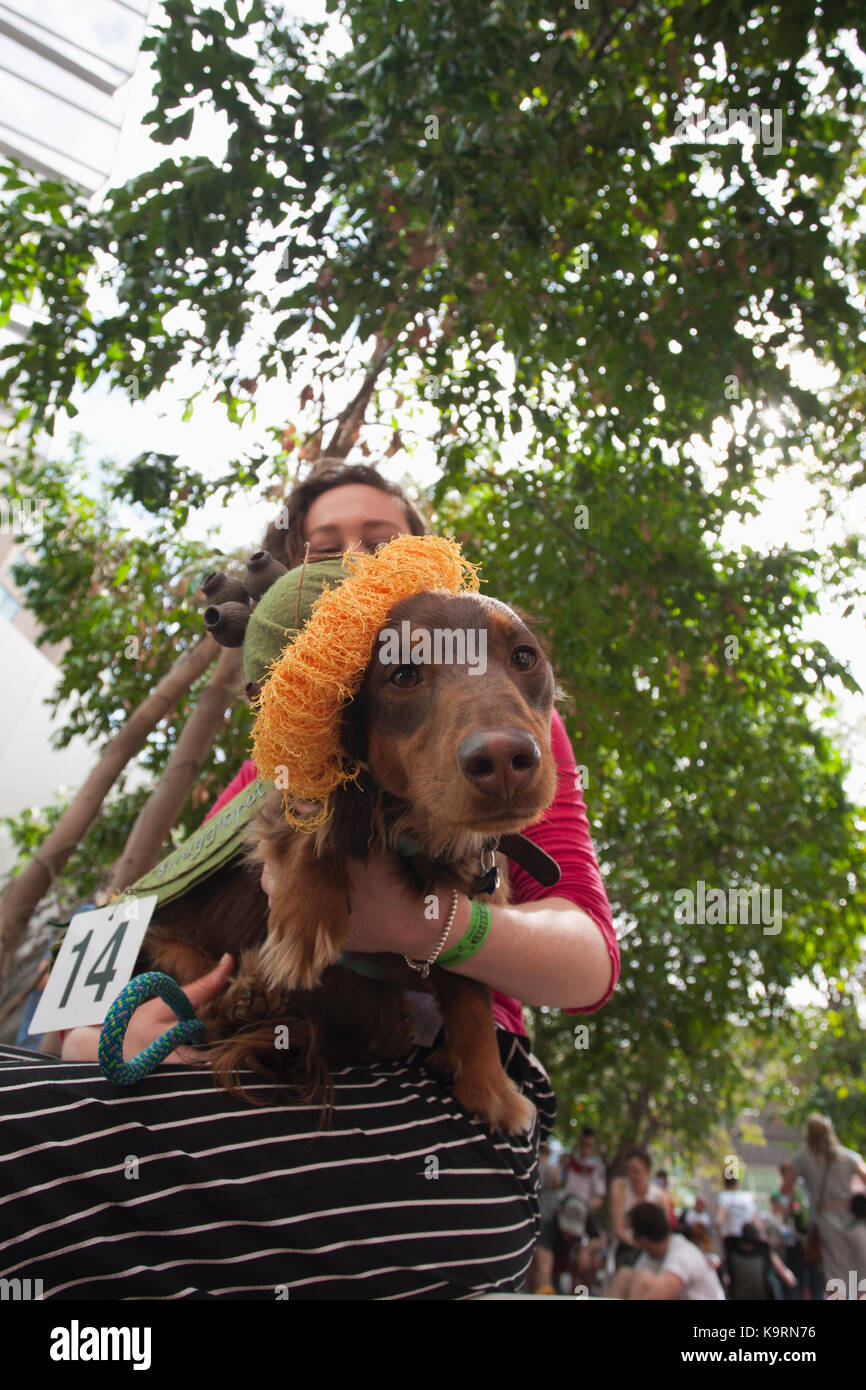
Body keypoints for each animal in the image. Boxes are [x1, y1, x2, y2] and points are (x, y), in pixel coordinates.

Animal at [135, 586, 556, 1128]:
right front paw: (307, 917)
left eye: (524, 658)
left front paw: (489, 1087)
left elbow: (472, 999)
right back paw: (246, 999)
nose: (504, 761)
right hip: (166, 950)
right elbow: (316, 821)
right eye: (404, 674)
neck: (422, 831)